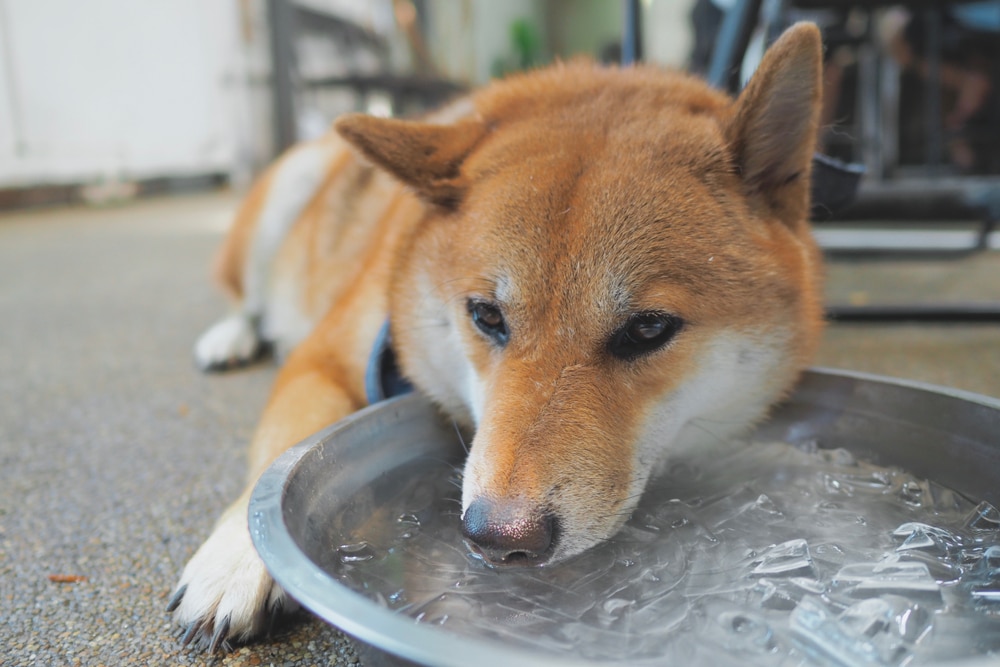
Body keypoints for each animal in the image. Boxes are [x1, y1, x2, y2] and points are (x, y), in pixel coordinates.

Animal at [172, 24, 824, 652]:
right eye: (486, 315)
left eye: (648, 328)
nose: (500, 536)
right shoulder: (322, 359)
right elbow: (280, 447)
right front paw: (235, 558)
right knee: (246, 298)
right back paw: (228, 338)